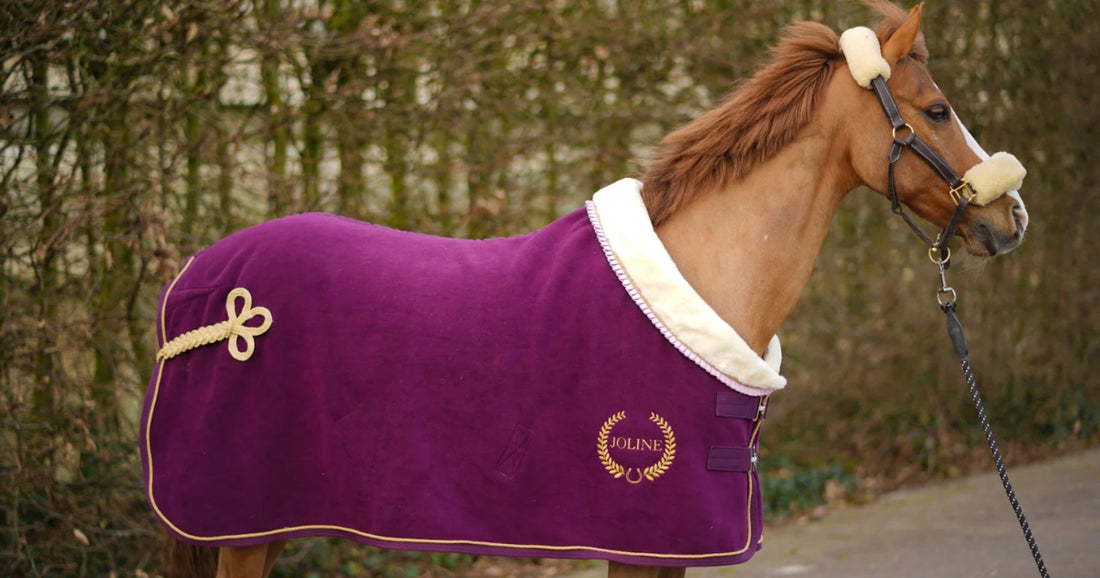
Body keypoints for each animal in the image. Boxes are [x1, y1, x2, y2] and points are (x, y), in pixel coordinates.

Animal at [141, 3, 1029, 577]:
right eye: (937, 110)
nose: (1011, 218)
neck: (703, 273)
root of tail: (197, 291)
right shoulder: (643, 539)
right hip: (244, 529)